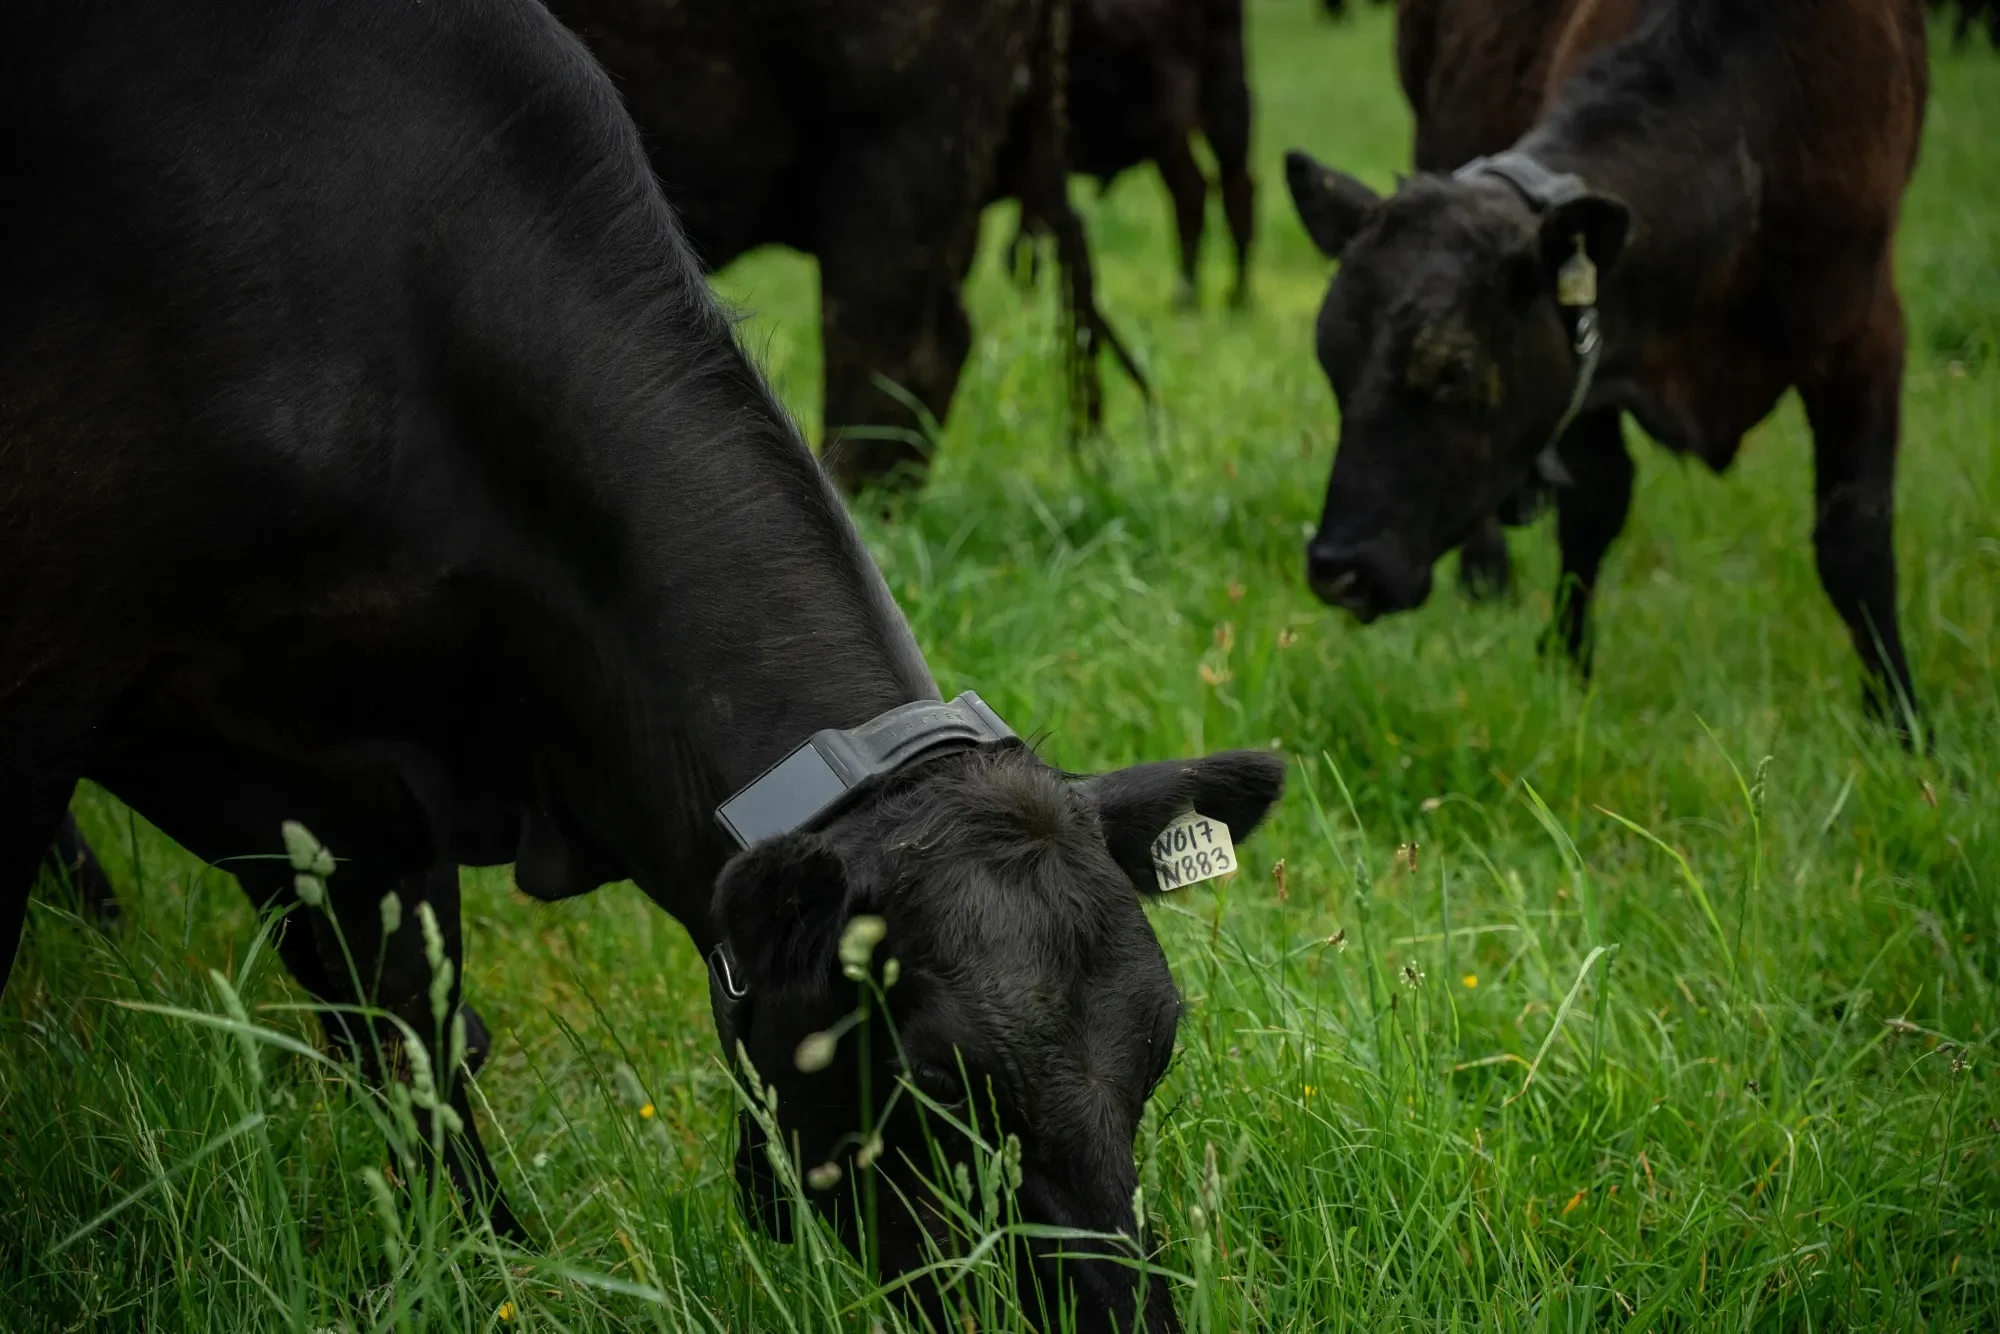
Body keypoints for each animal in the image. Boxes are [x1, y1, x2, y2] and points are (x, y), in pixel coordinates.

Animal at [996, 0, 1257, 309]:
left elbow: (1025, 245)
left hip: (1226, 101)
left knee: (1237, 190)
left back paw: (1238, 299)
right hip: (1169, 134)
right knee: (1191, 193)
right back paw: (1185, 299)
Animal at [1285, 0, 1929, 731]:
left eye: (1454, 369)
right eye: (1333, 367)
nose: (1338, 568)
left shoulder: (1867, 335)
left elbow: (1855, 537)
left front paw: (1901, 721)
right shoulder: (1588, 363)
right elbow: (1594, 506)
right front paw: (1567, 670)